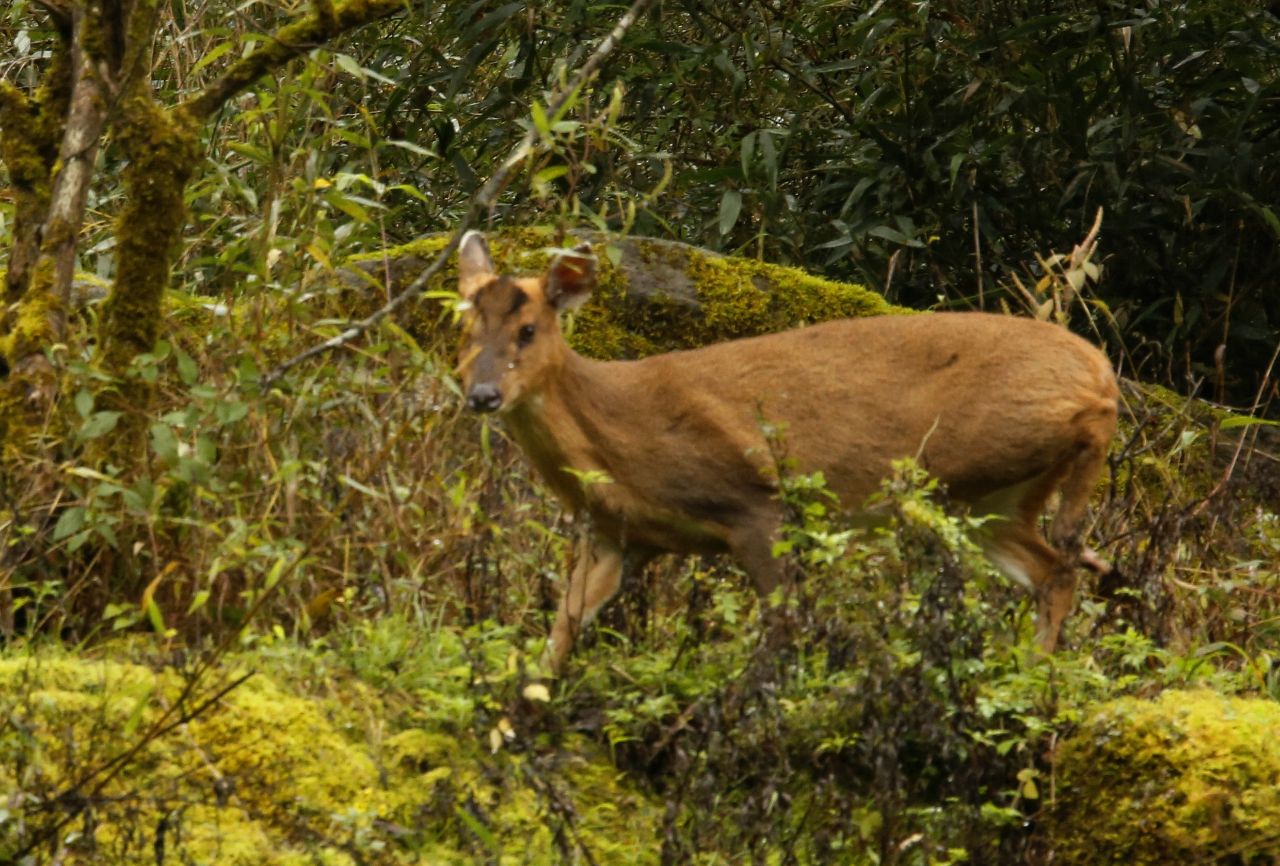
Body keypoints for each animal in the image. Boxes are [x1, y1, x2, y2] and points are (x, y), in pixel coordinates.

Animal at [455, 232, 1116, 670]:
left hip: (960, 455)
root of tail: (1096, 368)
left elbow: (784, 625)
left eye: (529, 331)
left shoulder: (755, 504)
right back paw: (1039, 660)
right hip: (989, 500)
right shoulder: (615, 534)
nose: (482, 394)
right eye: (466, 330)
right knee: (1051, 571)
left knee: (1083, 461)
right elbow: (562, 628)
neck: (617, 439)